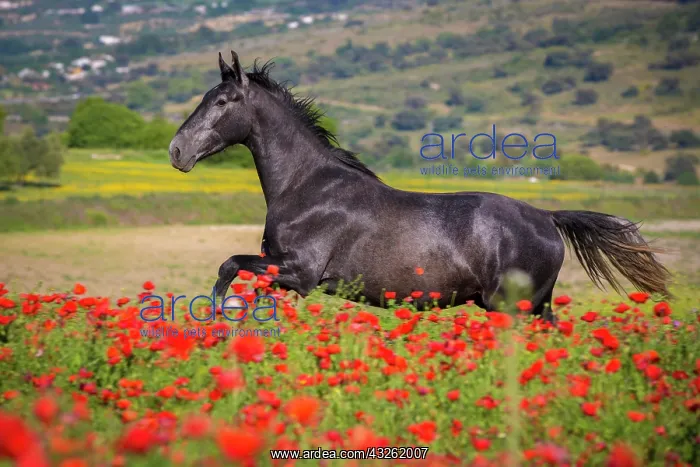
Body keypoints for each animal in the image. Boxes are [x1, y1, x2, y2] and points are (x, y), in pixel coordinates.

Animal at [168, 51, 671, 322]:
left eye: (223, 100)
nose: (176, 150)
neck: (308, 189)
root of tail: (548, 218)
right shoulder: (280, 271)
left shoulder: (302, 271)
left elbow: (229, 266)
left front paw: (216, 313)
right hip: (530, 305)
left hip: (514, 305)